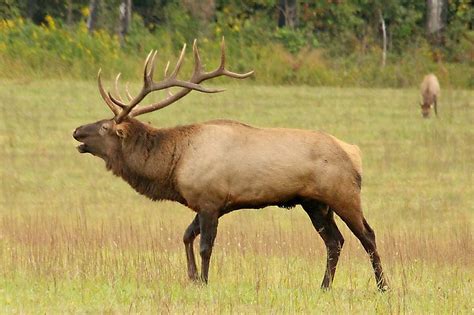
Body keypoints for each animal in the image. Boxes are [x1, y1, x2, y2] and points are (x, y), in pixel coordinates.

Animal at [71, 38, 388, 292]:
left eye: (104, 127)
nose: (76, 131)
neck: (174, 165)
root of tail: (354, 153)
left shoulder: (210, 200)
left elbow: (205, 246)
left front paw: (204, 281)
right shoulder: (205, 203)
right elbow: (186, 236)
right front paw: (191, 277)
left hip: (344, 194)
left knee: (368, 236)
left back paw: (383, 287)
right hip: (315, 203)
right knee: (335, 241)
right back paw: (324, 286)